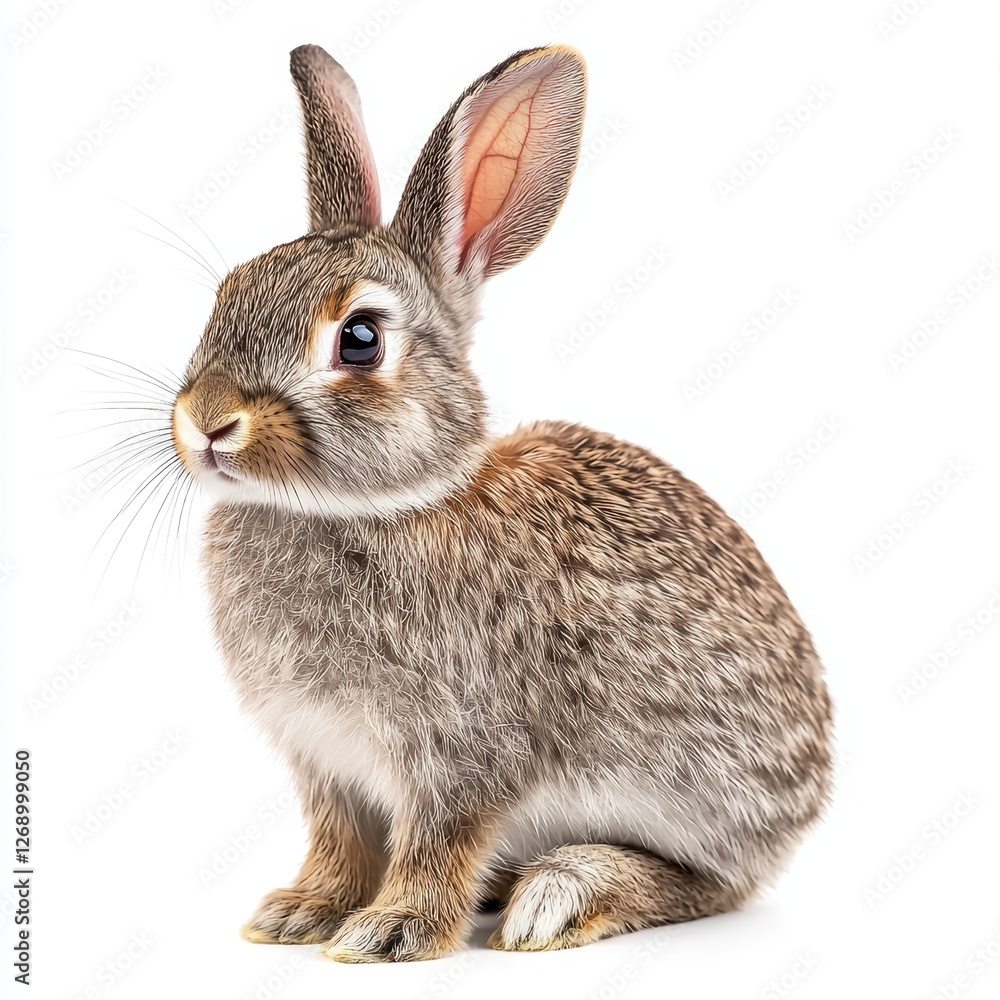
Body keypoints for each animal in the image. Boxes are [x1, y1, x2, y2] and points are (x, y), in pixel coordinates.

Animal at [170, 43, 833, 962]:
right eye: (228, 292)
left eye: (360, 339)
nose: (207, 421)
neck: (377, 506)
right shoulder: (326, 762)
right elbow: (338, 841)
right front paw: (300, 913)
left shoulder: (460, 753)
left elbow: (438, 841)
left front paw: (390, 932)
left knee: (714, 884)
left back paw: (559, 894)